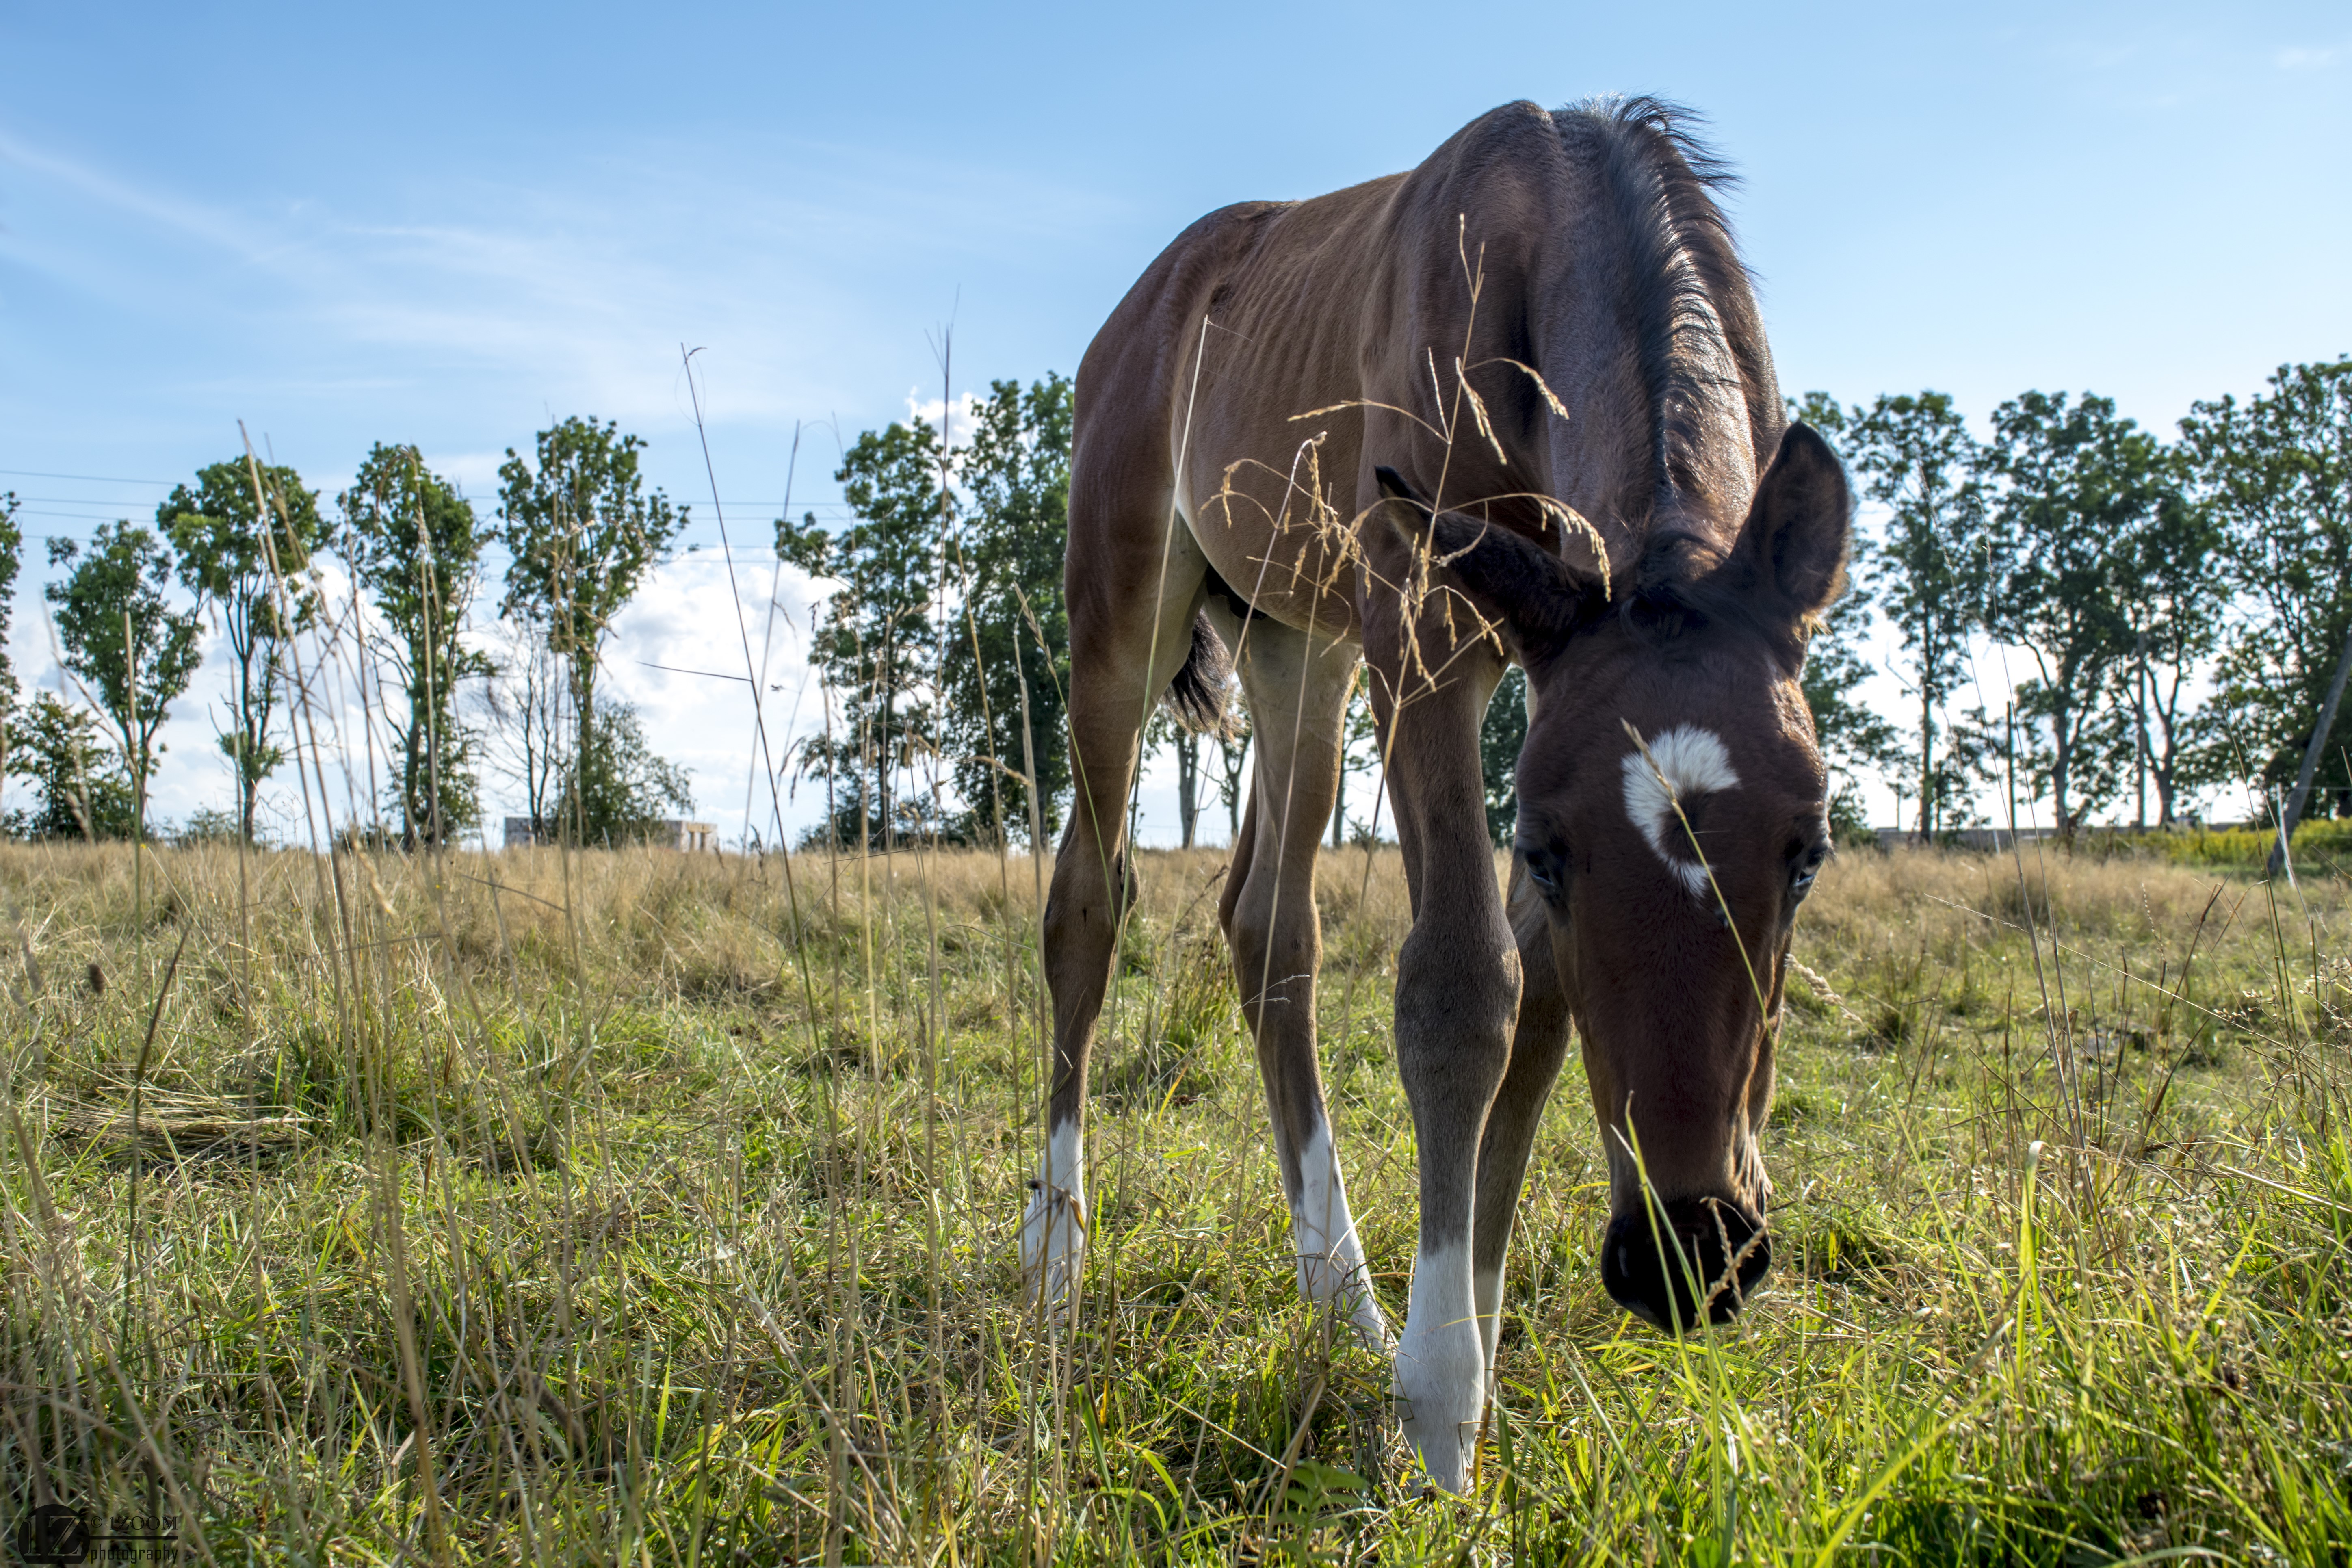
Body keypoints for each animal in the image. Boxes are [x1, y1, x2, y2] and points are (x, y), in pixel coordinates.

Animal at [1021, 96, 1849, 1492]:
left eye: (1808, 850)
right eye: (1548, 846)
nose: (1686, 1254)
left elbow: (1542, 1000)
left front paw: (1470, 1327)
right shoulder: (1425, 629)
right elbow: (1462, 987)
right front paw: (1442, 1401)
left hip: (1298, 641)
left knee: (1267, 924)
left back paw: (1341, 1293)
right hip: (1128, 602)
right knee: (1090, 895)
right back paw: (1058, 1253)